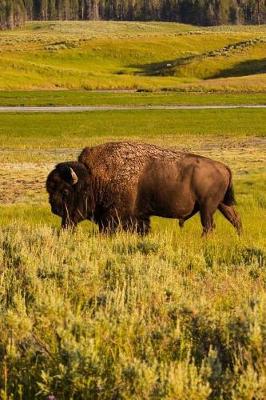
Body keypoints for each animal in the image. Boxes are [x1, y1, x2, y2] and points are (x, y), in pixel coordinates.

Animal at [46, 141, 242, 236]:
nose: (54, 208)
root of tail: (224, 167)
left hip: (207, 207)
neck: (94, 178)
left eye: (65, 191)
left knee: (209, 226)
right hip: (221, 205)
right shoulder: (139, 217)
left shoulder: (114, 217)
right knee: (235, 220)